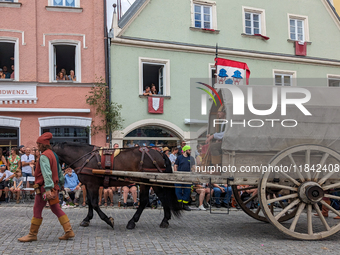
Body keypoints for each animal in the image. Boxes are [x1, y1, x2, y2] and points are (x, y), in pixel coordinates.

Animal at [51, 142, 182, 230]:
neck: (84, 157)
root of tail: (160, 153)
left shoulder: (92, 184)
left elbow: (94, 203)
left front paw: (108, 220)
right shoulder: (88, 185)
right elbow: (90, 202)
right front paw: (87, 219)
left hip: (148, 182)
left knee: (149, 200)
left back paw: (137, 221)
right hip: (149, 182)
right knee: (157, 198)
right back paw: (162, 220)